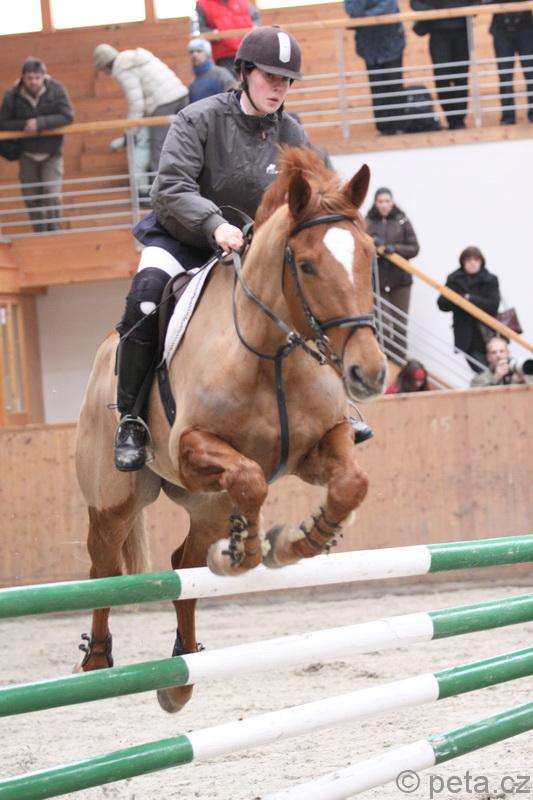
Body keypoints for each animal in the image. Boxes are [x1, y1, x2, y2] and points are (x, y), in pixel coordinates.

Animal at [75, 147, 387, 712]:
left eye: (368, 257)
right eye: (306, 265)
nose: (368, 373)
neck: (273, 354)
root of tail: (104, 354)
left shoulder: (320, 445)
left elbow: (351, 484)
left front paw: (305, 540)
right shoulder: (194, 448)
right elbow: (251, 478)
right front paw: (251, 551)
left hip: (206, 506)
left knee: (185, 563)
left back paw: (180, 676)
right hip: (115, 501)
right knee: (104, 571)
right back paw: (97, 660)